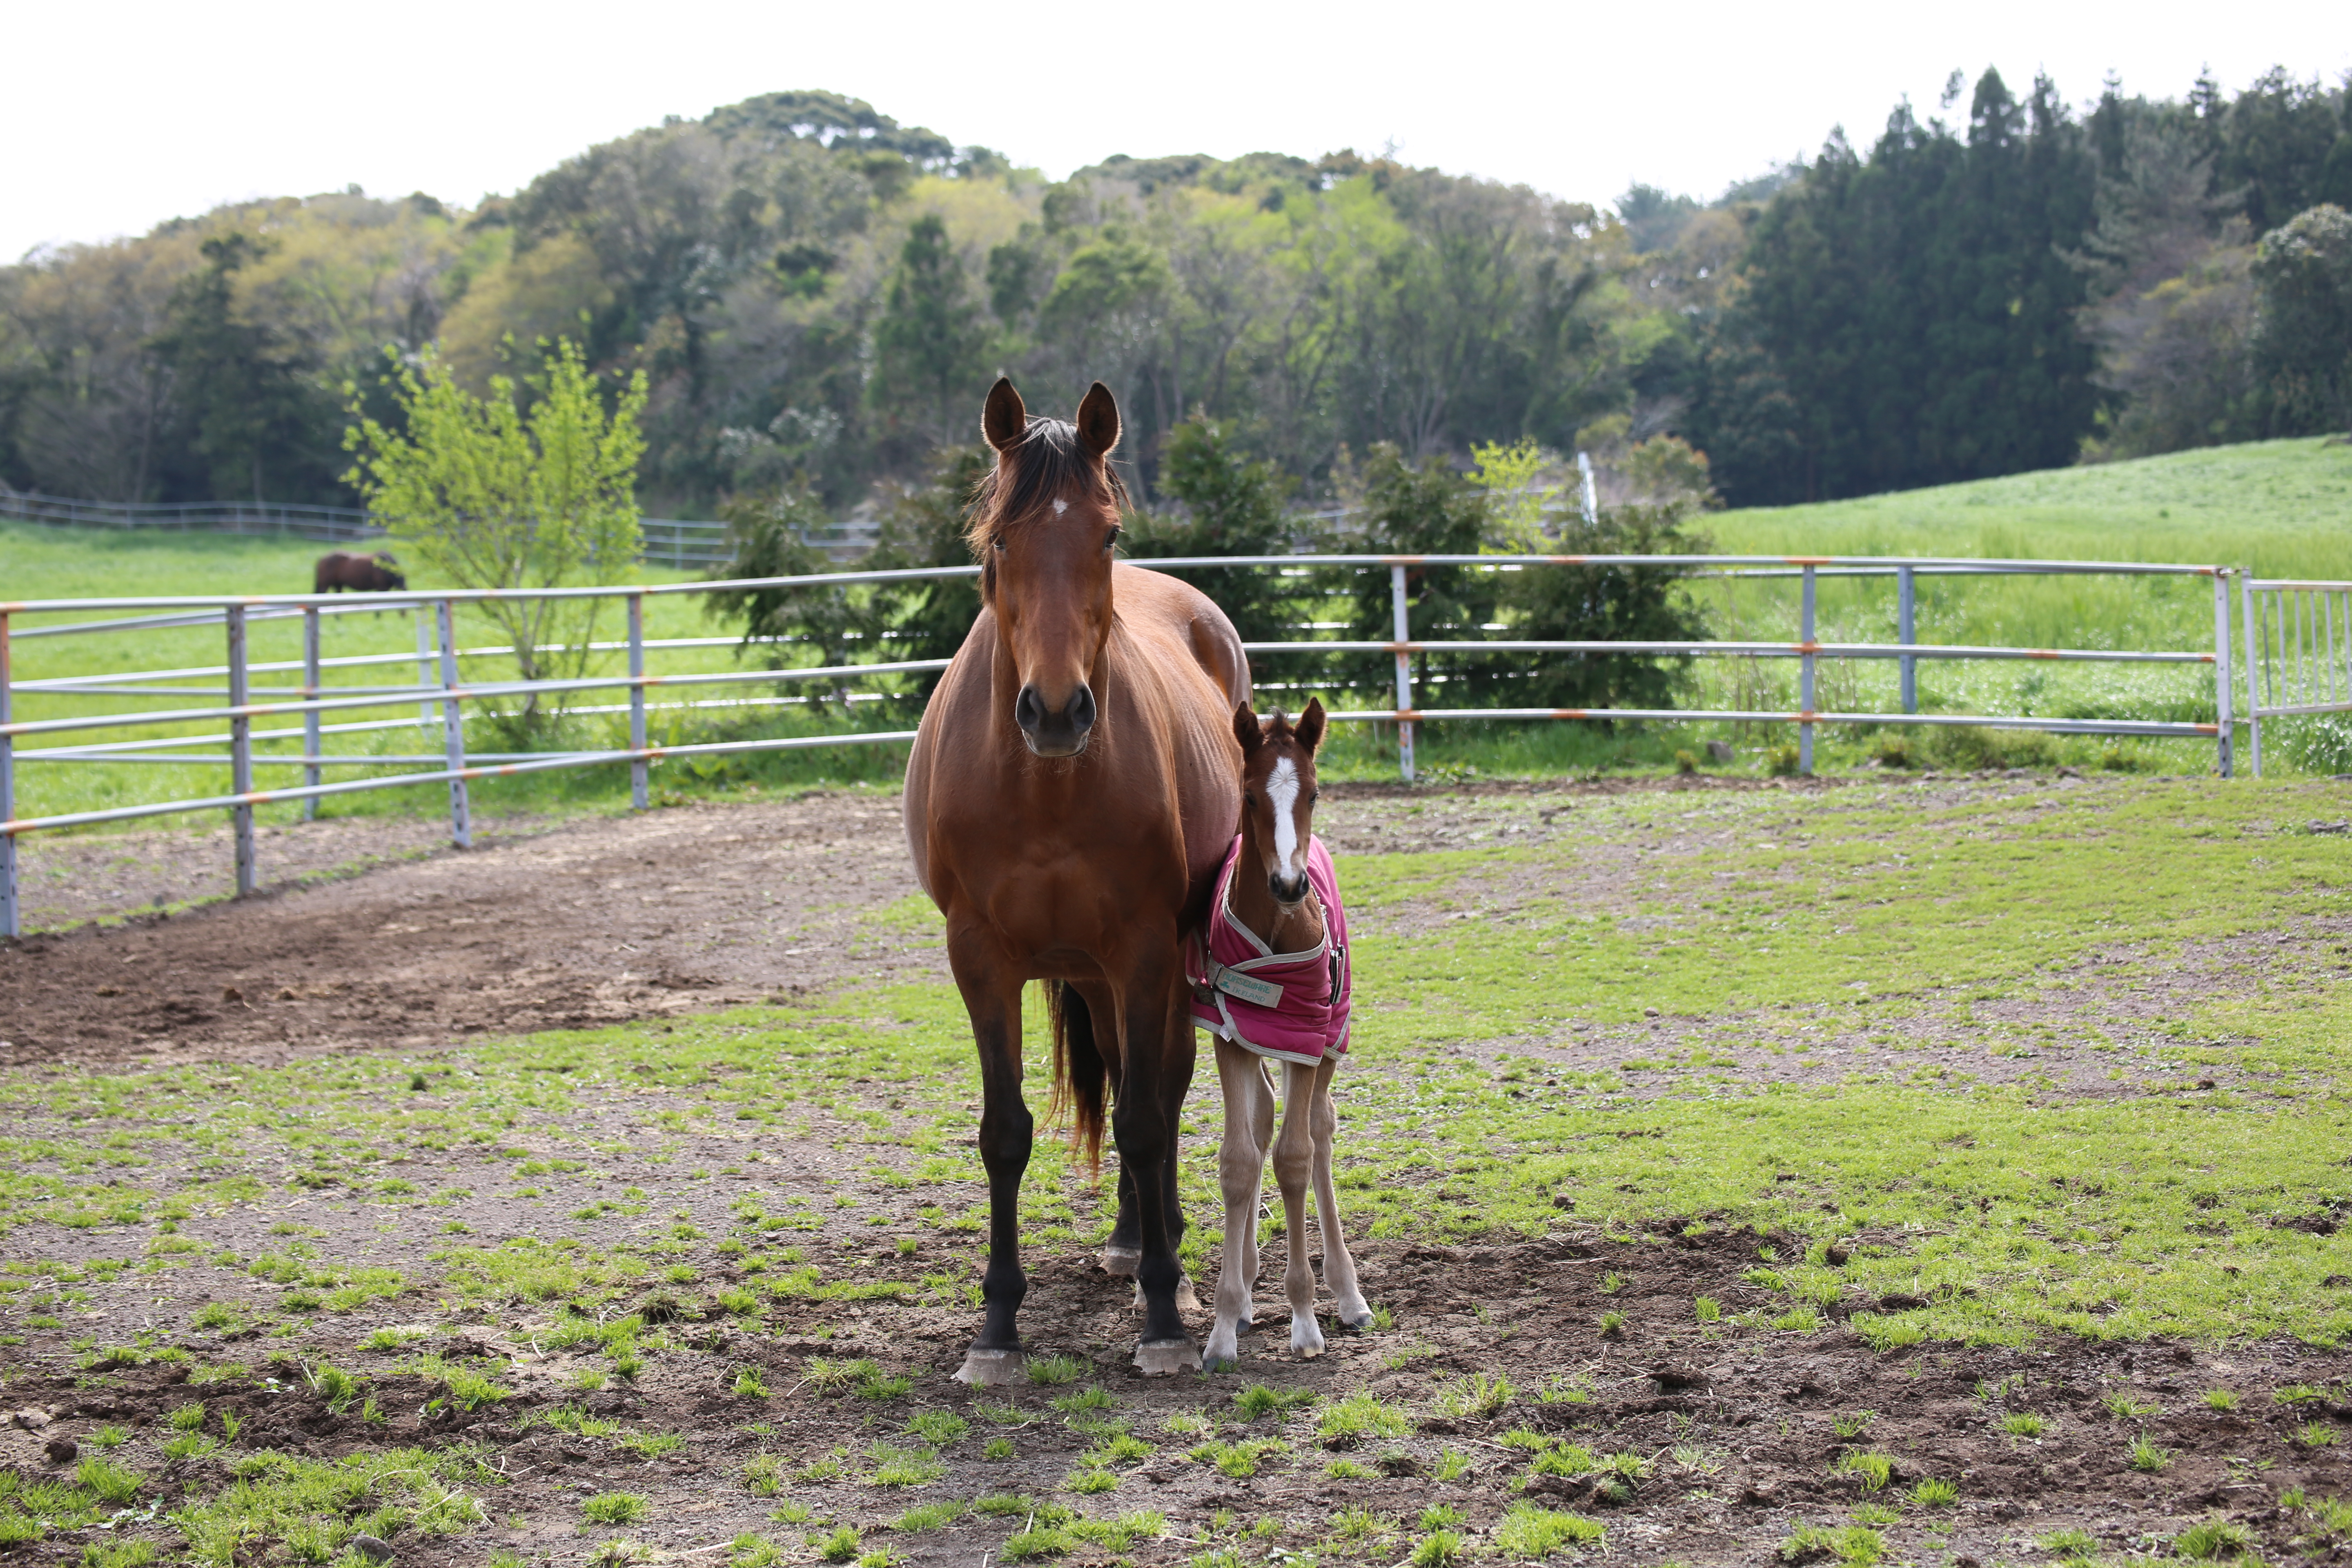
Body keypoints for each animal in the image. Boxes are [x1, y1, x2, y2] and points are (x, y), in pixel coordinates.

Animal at [903, 381, 1261, 1382]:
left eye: (1106, 535)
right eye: (998, 541)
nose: (1058, 711)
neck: (1046, 788)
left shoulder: (1142, 949)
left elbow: (1142, 1118)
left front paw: (1166, 1320)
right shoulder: (979, 959)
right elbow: (1005, 1132)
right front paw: (995, 1329)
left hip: (1150, 965)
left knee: (1162, 1090)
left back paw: (1163, 1256)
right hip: (1093, 978)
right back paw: (1135, 1243)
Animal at [1195, 700, 1373, 1363]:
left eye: (1316, 794)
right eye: (1248, 796)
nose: (1291, 885)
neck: (1277, 926)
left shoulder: (1303, 1042)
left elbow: (1295, 1161)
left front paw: (1305, 1320)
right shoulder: (1230, 1036)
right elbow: (1239, 1161)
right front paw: (1225, 1323)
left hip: (1331, 1041)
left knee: (1319, 1132)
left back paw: (1348, 1295)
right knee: (1264, 1119)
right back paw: (1247, 1291)